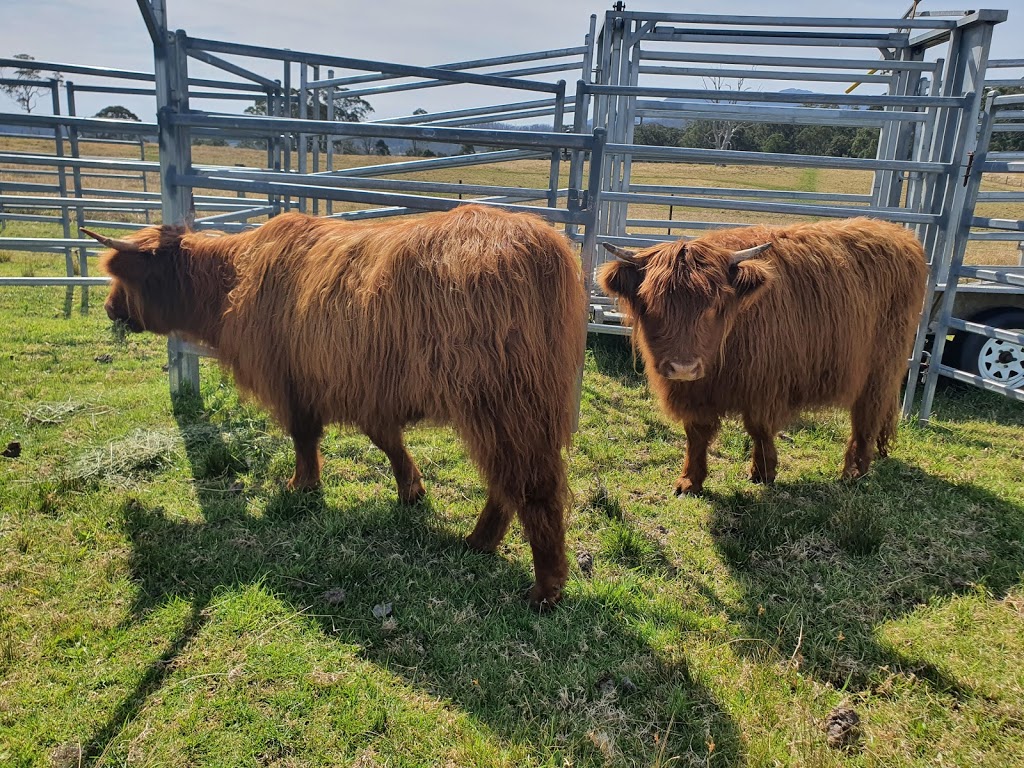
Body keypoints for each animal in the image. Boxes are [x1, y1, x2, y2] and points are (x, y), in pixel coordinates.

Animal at [83, 205, 585, 614]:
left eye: (123, 278)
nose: (108, 308)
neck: (231, 284)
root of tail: (541, 244)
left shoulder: (294, 382)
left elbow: (305, 438)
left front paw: (301, 486)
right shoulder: (366, 391)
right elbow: (387, 442)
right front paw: (411, 490)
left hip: (502, 402)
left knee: (532, 485)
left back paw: (544, 589)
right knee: (506, 481)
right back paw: (478, 543)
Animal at [598, 214, 929, 495]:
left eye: (714, 306)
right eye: (651, 304)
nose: (683, 367)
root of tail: (898, 234)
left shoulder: (765, 384)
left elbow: (759, 428)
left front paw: (763, 472)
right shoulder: (695, 394)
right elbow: (696, 434)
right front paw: (690, 481)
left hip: (881, 368)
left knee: (867, 417)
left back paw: (853, 473)